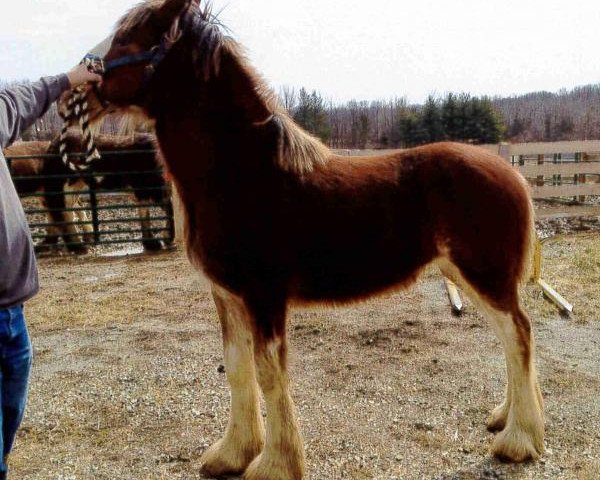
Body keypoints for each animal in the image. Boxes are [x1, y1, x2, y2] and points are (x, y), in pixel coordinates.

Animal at [69, 1, 544, 478]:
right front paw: (232, 453)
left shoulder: (263, 296)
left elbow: (268, 373)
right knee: (511, 337)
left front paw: (275, 463)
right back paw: (506, 418)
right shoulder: (227, 297)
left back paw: (518, 441)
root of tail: (515, 175)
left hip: (484, 275)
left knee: (519, 333)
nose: (74, 92)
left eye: (128, 40)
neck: (243, 173)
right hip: (467, 276)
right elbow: (238, 369)